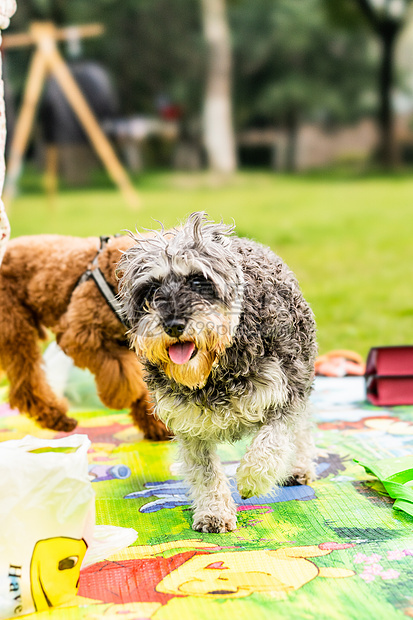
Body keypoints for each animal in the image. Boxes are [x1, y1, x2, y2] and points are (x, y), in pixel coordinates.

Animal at [0, 232, 169, 440]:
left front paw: (155, 424)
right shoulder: (81, 335)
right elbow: (124, 375)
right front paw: (124, 397)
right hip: (14, 327)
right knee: (26, 385)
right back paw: (57, 418)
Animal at [117, 213, 318, 532]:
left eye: (199, 279)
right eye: (150, 288)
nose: (173, 325)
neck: (216, 370)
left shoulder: (286, 394)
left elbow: (272, 441)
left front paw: (251, 480)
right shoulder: (189, 424)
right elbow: (206, 472)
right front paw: (214, 512)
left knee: (301, 433)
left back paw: (300, 469)